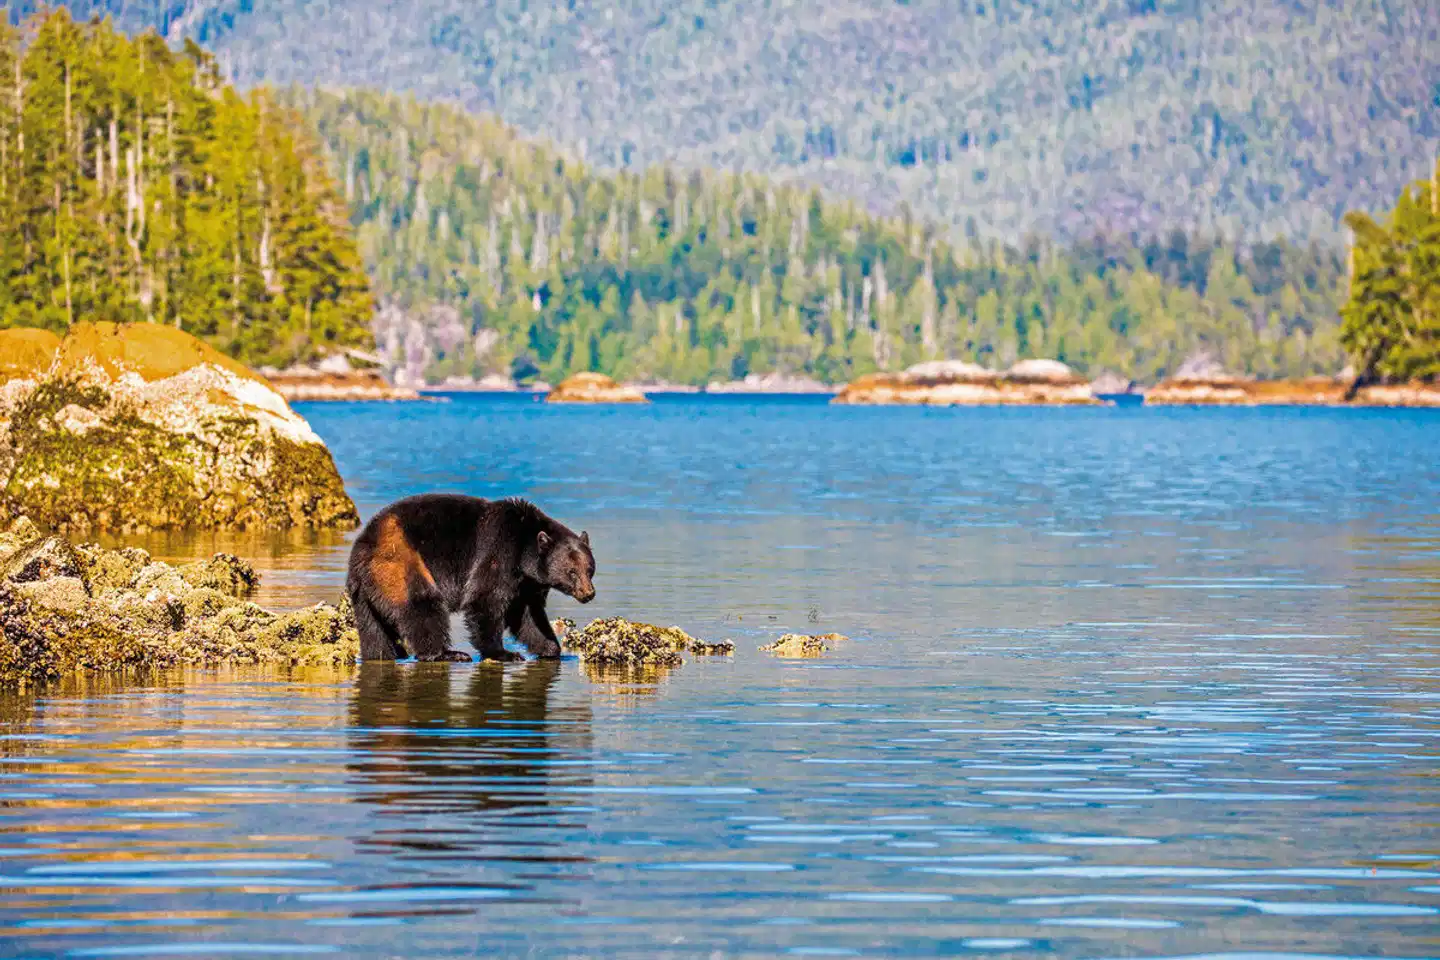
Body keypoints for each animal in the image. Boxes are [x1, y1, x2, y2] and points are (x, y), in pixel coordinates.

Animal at [345, 494, 595, 662]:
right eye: (572, 571)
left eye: (590, 569)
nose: (589, 593)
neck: (524, 548)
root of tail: (361, 548)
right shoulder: (499, 549)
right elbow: (484, 598)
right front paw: (504, 653)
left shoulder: (527, 583)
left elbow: (527, 614)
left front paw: (550, 648)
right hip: (399, 560)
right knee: (421, 603)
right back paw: (446, 653)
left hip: (366, 592)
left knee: (373, 631)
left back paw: (384, 654)